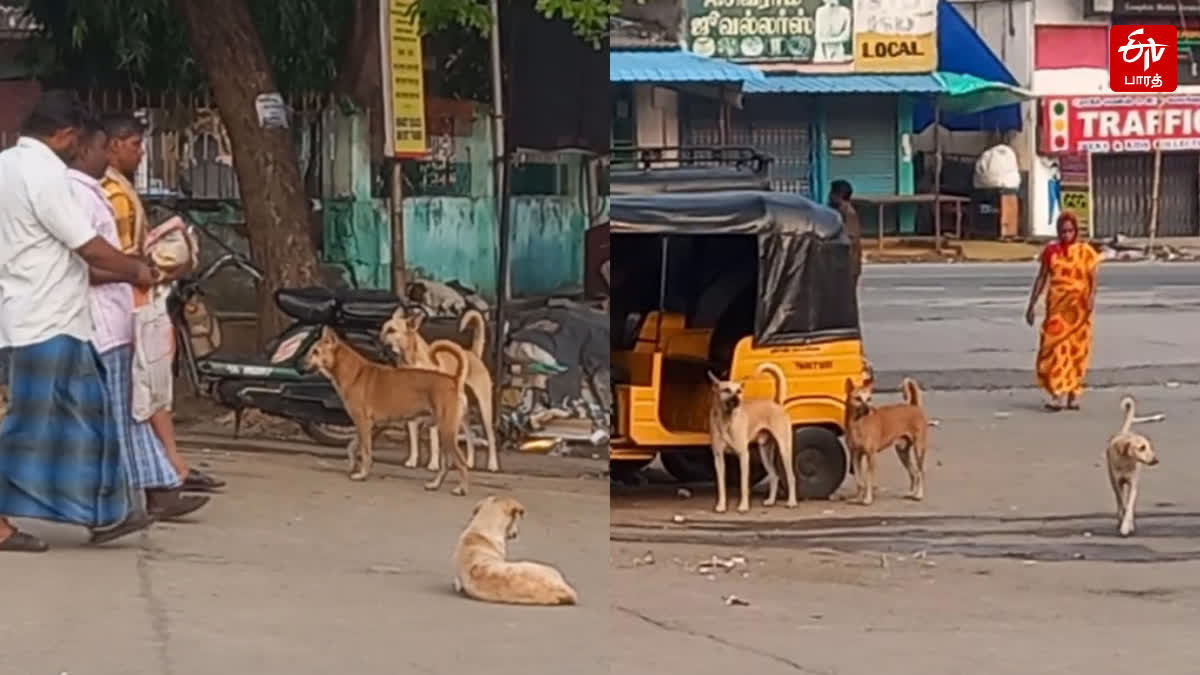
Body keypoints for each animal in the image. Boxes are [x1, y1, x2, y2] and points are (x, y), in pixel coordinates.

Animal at [304, 326, 472, 494]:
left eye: (315, 351)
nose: (301, 364)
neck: (355, 373)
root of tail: (454, 380)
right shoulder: (370, 426)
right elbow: (352, 446)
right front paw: (352, 465)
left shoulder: (363, 423)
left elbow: (365, 452)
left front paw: (362, 474)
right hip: (445, 433)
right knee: (446, 464)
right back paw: (434, 485)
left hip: (447, 432)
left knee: (461, 462)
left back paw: (461, 488)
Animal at [381, 306, 499, 470]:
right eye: (382, 329)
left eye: (392, 330)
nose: (377, 341)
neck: (412, 362)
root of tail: (473, 354)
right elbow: (413, 440)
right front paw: (412, 460)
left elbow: (434, 442)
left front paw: (433, 463)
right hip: (461, 414)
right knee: (469, 437)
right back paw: (468, 462)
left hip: (484, 409)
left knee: (491, 437)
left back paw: (492, 464)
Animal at [700, 362, 796, 509]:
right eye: (726, 390)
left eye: (739, 391)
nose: (737, 400)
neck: (726, 421)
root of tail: (776, 403)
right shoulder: (718, 458)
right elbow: (721, 486)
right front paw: (721, 506)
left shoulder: (744, 455)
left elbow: (743, 484)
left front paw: (743, 506)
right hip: (765, 452)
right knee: (774, 476)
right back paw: (770, 501)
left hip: (784, 449)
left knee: (791, 477)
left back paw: (792, 502)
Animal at [844, 374, 926, 502]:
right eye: (857, 398)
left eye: (869, 399)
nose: (868, 410)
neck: (857, 424)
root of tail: (913, 406)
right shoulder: (855, 456)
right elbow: (859, 480)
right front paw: (857, 498)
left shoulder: (871, 456)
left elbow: (868, 479)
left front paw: (867, 499)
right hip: (902, 452)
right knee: (914, 473)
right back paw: (911, 493)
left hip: (919, 450)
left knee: (921, 472)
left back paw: (919, 495)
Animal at [1104, 393, 1161, 535]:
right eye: (1142, 448)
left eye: (1150, 447)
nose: (1155, 460)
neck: (1126, 461)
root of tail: (1125, 432)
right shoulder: (1117, 482)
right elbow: (1122, 503)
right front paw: (1123, 522)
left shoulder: (1133, 483)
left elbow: (1129, 506)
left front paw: (1126, 526)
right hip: (1112, 480)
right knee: (1119, 501)